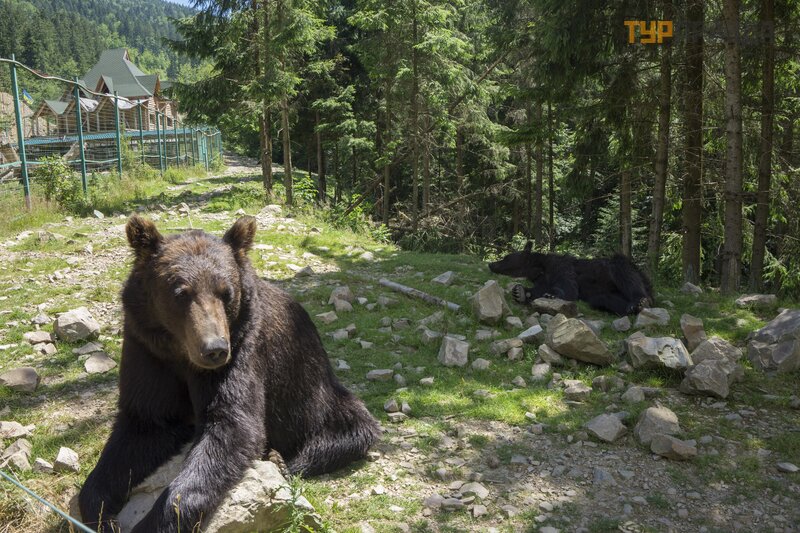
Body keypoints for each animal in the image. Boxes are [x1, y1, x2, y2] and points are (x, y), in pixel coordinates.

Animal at [78, 215, 382, 532]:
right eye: (180, 292)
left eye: (226, 292)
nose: (214, 348)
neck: (181, 355)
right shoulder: (148, 352)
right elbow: (141, 427)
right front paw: (103, 514)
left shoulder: (242, 349)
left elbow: (231, 426)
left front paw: (155, 521)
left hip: (317, 393)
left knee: (344, 431)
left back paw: (282, 461)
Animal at [488, 242, 656, 316]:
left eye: (505, 257)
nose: (491, 263)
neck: (539, 268)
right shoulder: (542, 279)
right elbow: (538, 290)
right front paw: (520, 292)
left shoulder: (559, 265)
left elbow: (568, 287)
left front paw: (552, 295)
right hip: (604, 294)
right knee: (603, 299)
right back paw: (630, 308)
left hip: (625, 270)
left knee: (624, 272)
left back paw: (640, 301)